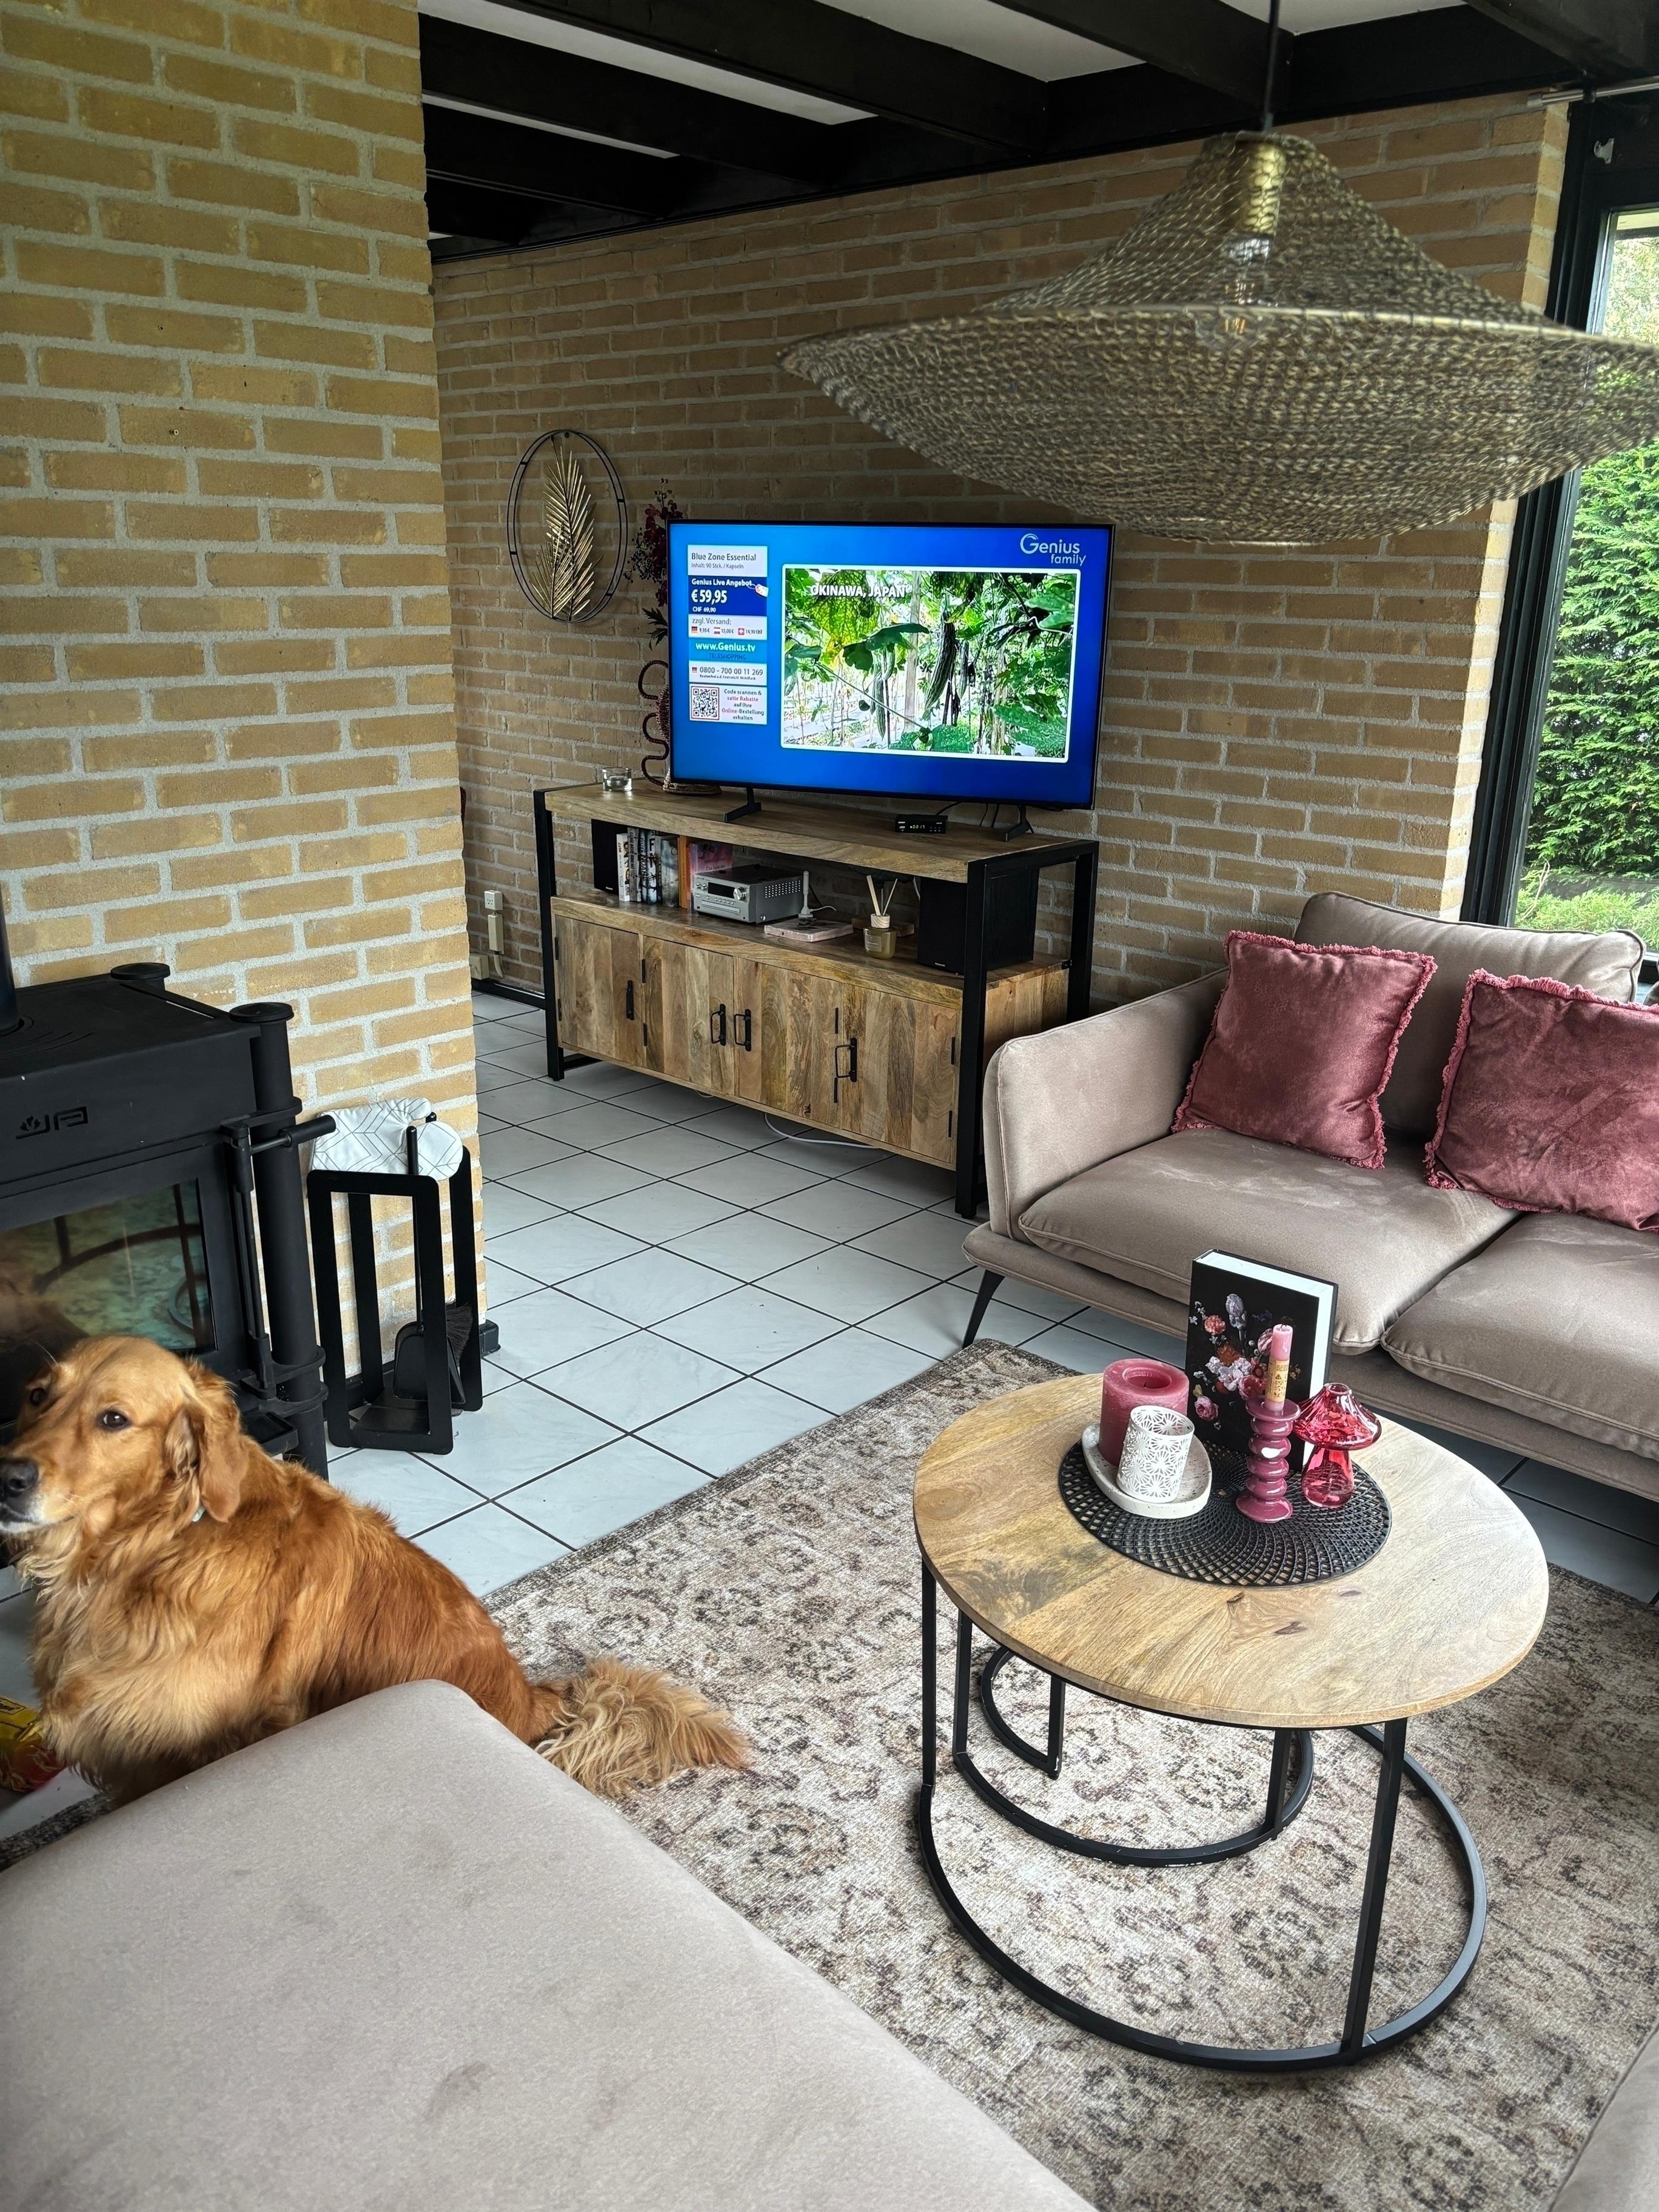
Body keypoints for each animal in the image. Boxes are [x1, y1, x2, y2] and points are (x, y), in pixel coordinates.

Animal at [0, 1335, 747, 1804]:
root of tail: (526, 1698)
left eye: (113, 1419)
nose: (7, 1476)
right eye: (36, 1396)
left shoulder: (190, 1750)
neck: (149, 1548)